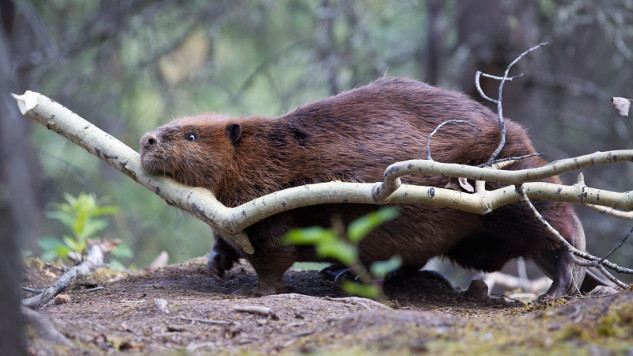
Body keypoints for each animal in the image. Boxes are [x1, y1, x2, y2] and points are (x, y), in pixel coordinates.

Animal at [141, 77, 596, 298]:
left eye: (191, 136)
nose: (147, 139)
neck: (266, 150)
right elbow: (227, 238)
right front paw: (217, 264)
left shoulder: (275, 199)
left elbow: (275, 251)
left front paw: (260, 290)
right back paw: (342, 271)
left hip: (506, 184)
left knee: (558, 226)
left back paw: (561, 286)